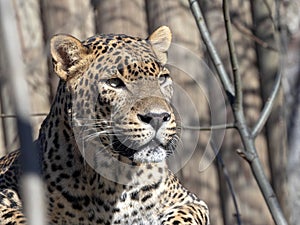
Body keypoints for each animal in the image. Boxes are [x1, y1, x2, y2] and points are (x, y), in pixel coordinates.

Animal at [0, 25, 210, 224]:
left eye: (162, 78)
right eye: (114, 83)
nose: (158, 117)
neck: (115, 180)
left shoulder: (191, 202)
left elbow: (181, 218)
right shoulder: (5, 196)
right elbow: (16, 218)